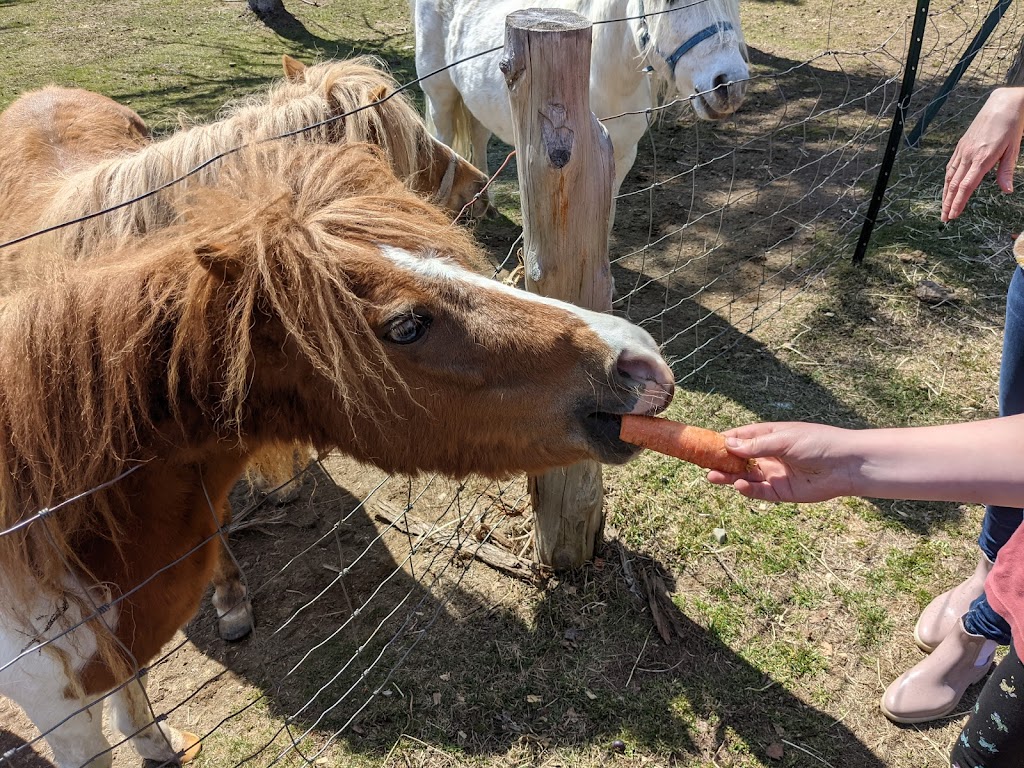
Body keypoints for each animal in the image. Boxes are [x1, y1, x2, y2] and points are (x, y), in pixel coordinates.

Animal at [0, 141, 671, 768]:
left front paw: (160, 745)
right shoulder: (58, 706)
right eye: (406, 326)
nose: (639, 358)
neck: (56, 517)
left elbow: (133, 695)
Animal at [411, 0, 749, 201]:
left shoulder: (622, 159)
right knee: (442, 139)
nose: (730, 85)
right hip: (440, 95)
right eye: (669, 2)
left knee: (478, 137)